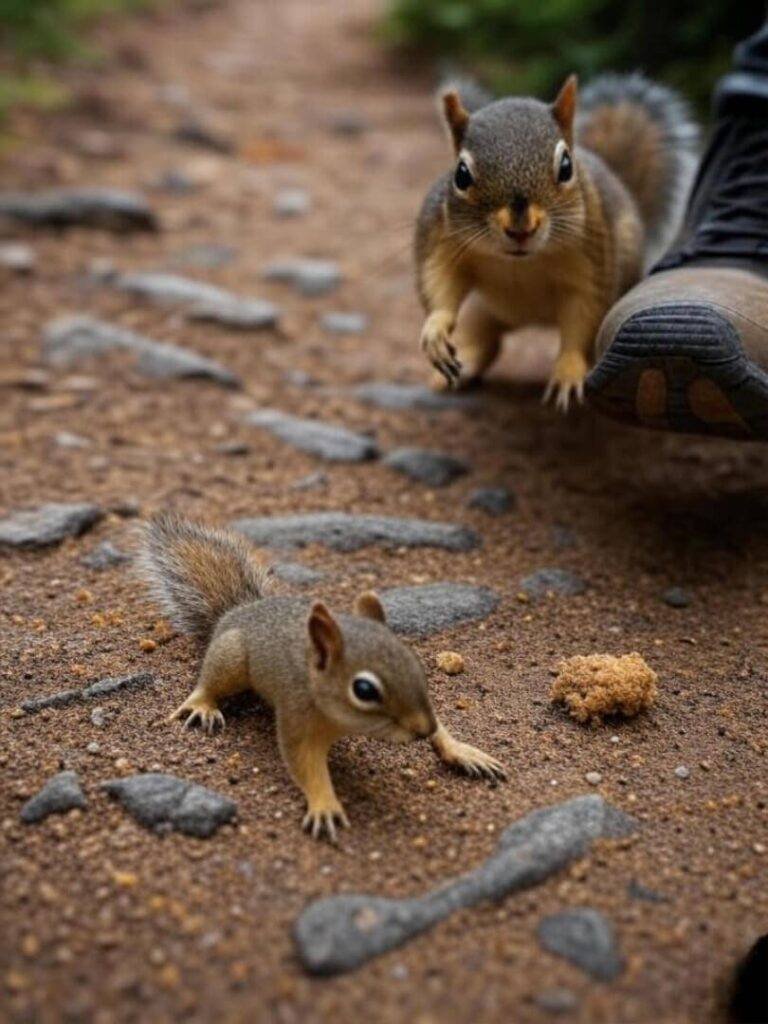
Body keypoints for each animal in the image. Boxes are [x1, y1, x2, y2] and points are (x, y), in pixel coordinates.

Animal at [138, 513, 505, 841]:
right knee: (209, 681)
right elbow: (305, 763)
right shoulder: (297, 715)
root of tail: (236, 612)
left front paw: (463, 751)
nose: (423, 731)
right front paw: (325, 804)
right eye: (364, 689)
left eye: (414, 662)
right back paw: (203, 705)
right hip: (231, 659)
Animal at [415, 72, 699, 408]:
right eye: (461, 174)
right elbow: (439, 281)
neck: (520, 261)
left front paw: (569, 373)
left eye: (566, 166)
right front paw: (435, 330)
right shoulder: (440, 235)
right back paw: (462, 366)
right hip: (481, 307)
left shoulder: (591, 253)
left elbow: (583, 315)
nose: (521, 229)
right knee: (483, 338)